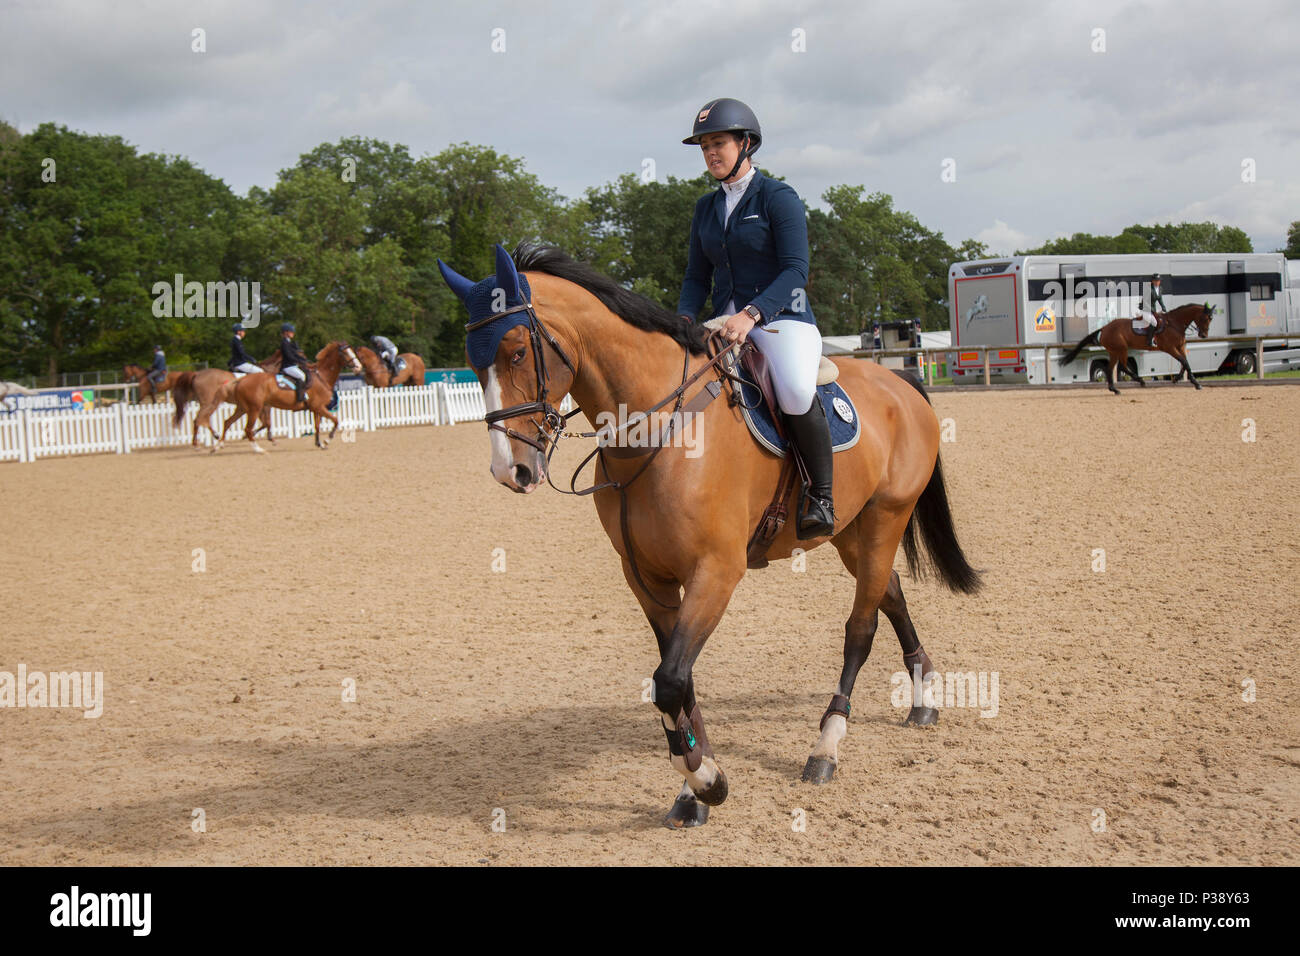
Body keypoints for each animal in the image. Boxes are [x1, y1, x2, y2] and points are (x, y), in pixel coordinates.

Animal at [218, 343, 361, 455]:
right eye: (345, 353)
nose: (359, 367)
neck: (322, 376)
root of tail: (241, 380)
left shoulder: (316, 408)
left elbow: (317, 426)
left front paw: (319, 443)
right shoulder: (319, 407)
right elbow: (336, 421)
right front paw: (326, 441)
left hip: (243, 408)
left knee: (227, 422)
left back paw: (218, 446)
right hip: (254, 408)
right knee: (247, 429)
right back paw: (258, 449)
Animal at [436, 244, 977, 832]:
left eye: (515, 352)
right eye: (472, 361)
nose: (509, 470)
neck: (655, 429)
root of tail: (901, 385)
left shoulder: (716, 571)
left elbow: (671, 679)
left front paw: (707, 782)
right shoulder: (647, 579)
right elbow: (678, 683)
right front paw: (693, 788)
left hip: (884, 519)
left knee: (861, 626)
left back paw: (826, 746)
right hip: (851, 531)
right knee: (890, 592)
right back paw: (923, 696)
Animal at [1060, 303, 1211, 392]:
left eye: (1211, 319)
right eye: (1205, 318)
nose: (1203, 335)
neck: (1174, 324)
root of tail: (1104, 328)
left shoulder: (1180, 347)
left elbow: (1185, 363)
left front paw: (1180, 379)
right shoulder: (1170, 348)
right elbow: (1184, 362)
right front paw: (1196, 384)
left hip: (1115, 351)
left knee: (1111, 368)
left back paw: (1114, 389)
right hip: (1122, 349)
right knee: (1122, 367)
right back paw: (1140, 381)